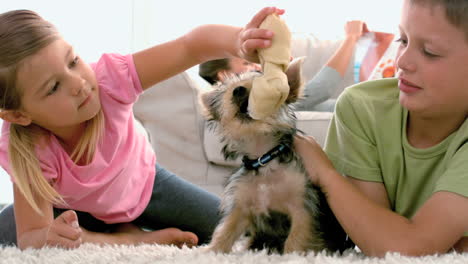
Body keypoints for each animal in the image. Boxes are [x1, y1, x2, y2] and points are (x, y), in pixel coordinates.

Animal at [199, 58, 352, 255]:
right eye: (228, 88)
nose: (238, 89)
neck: (264, 157)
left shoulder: (303, 206)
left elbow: (297, 237)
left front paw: (291, 256)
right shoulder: (241, 205)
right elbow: (226, 228)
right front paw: (211, 250)